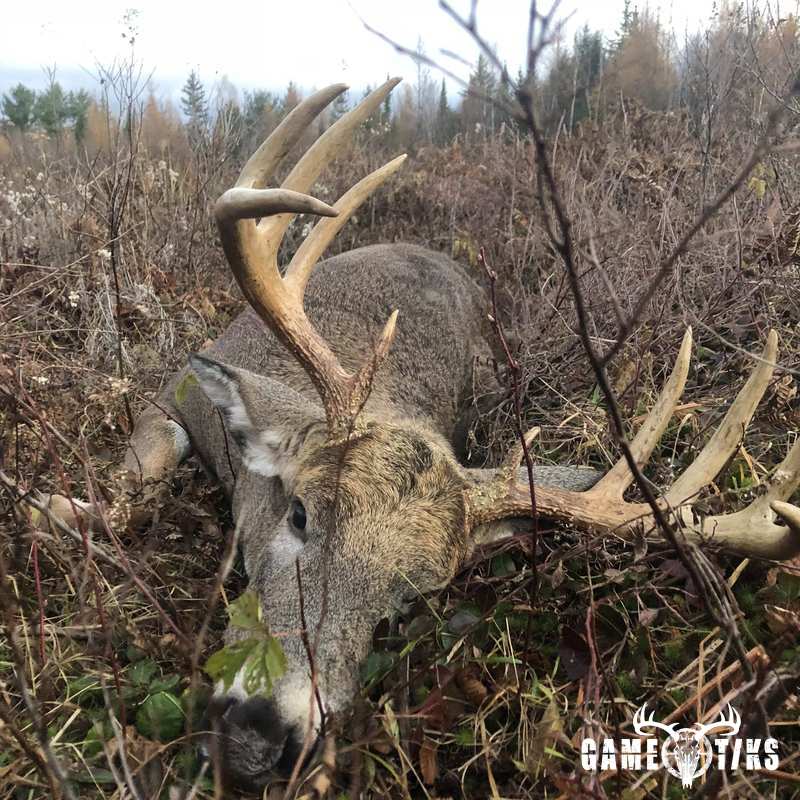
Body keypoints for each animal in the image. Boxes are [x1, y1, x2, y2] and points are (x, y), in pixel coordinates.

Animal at [35, 78, 800, 791]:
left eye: (408, 598)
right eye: (300, 513)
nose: (260, 741)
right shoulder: (176, 391)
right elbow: (134, 476)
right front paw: (52, 506)